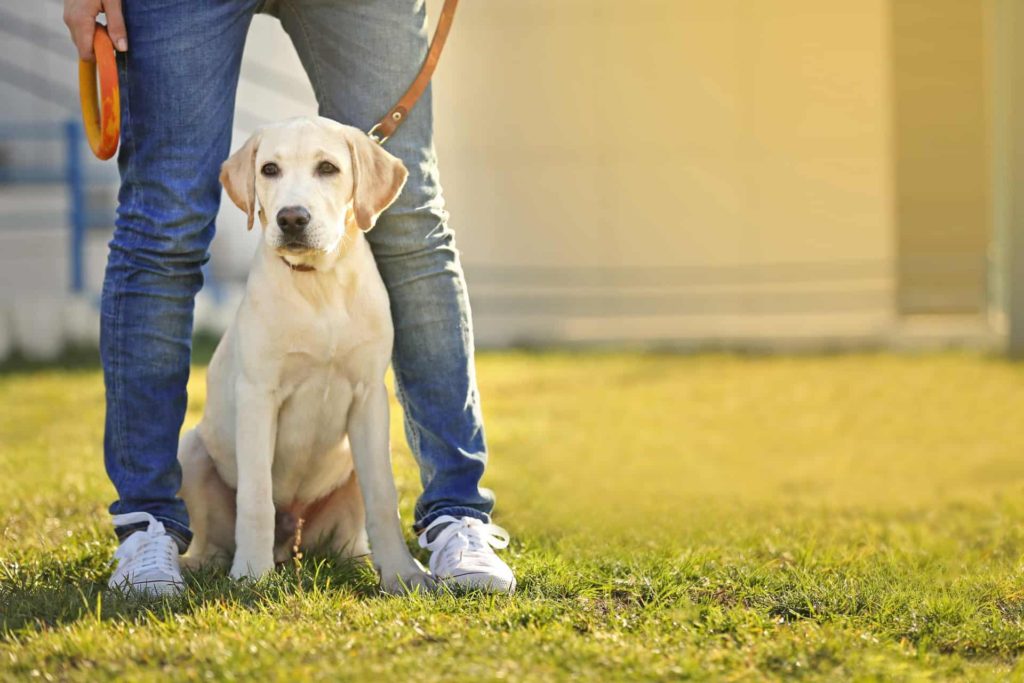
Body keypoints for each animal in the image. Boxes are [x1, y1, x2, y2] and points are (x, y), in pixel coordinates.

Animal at [176, 117, 432, 593]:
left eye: (327, 168)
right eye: (269, 170)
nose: (291, 218)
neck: (320, 284)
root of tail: (289, 542)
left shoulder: (369, 398)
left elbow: (384, 496)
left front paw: (403, 573)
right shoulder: (258, 396)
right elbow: (256, 496)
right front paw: (251, 574)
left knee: (349, 538)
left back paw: (361, 561)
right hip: (192, 450)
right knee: (214, 540)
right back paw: (202, 565)